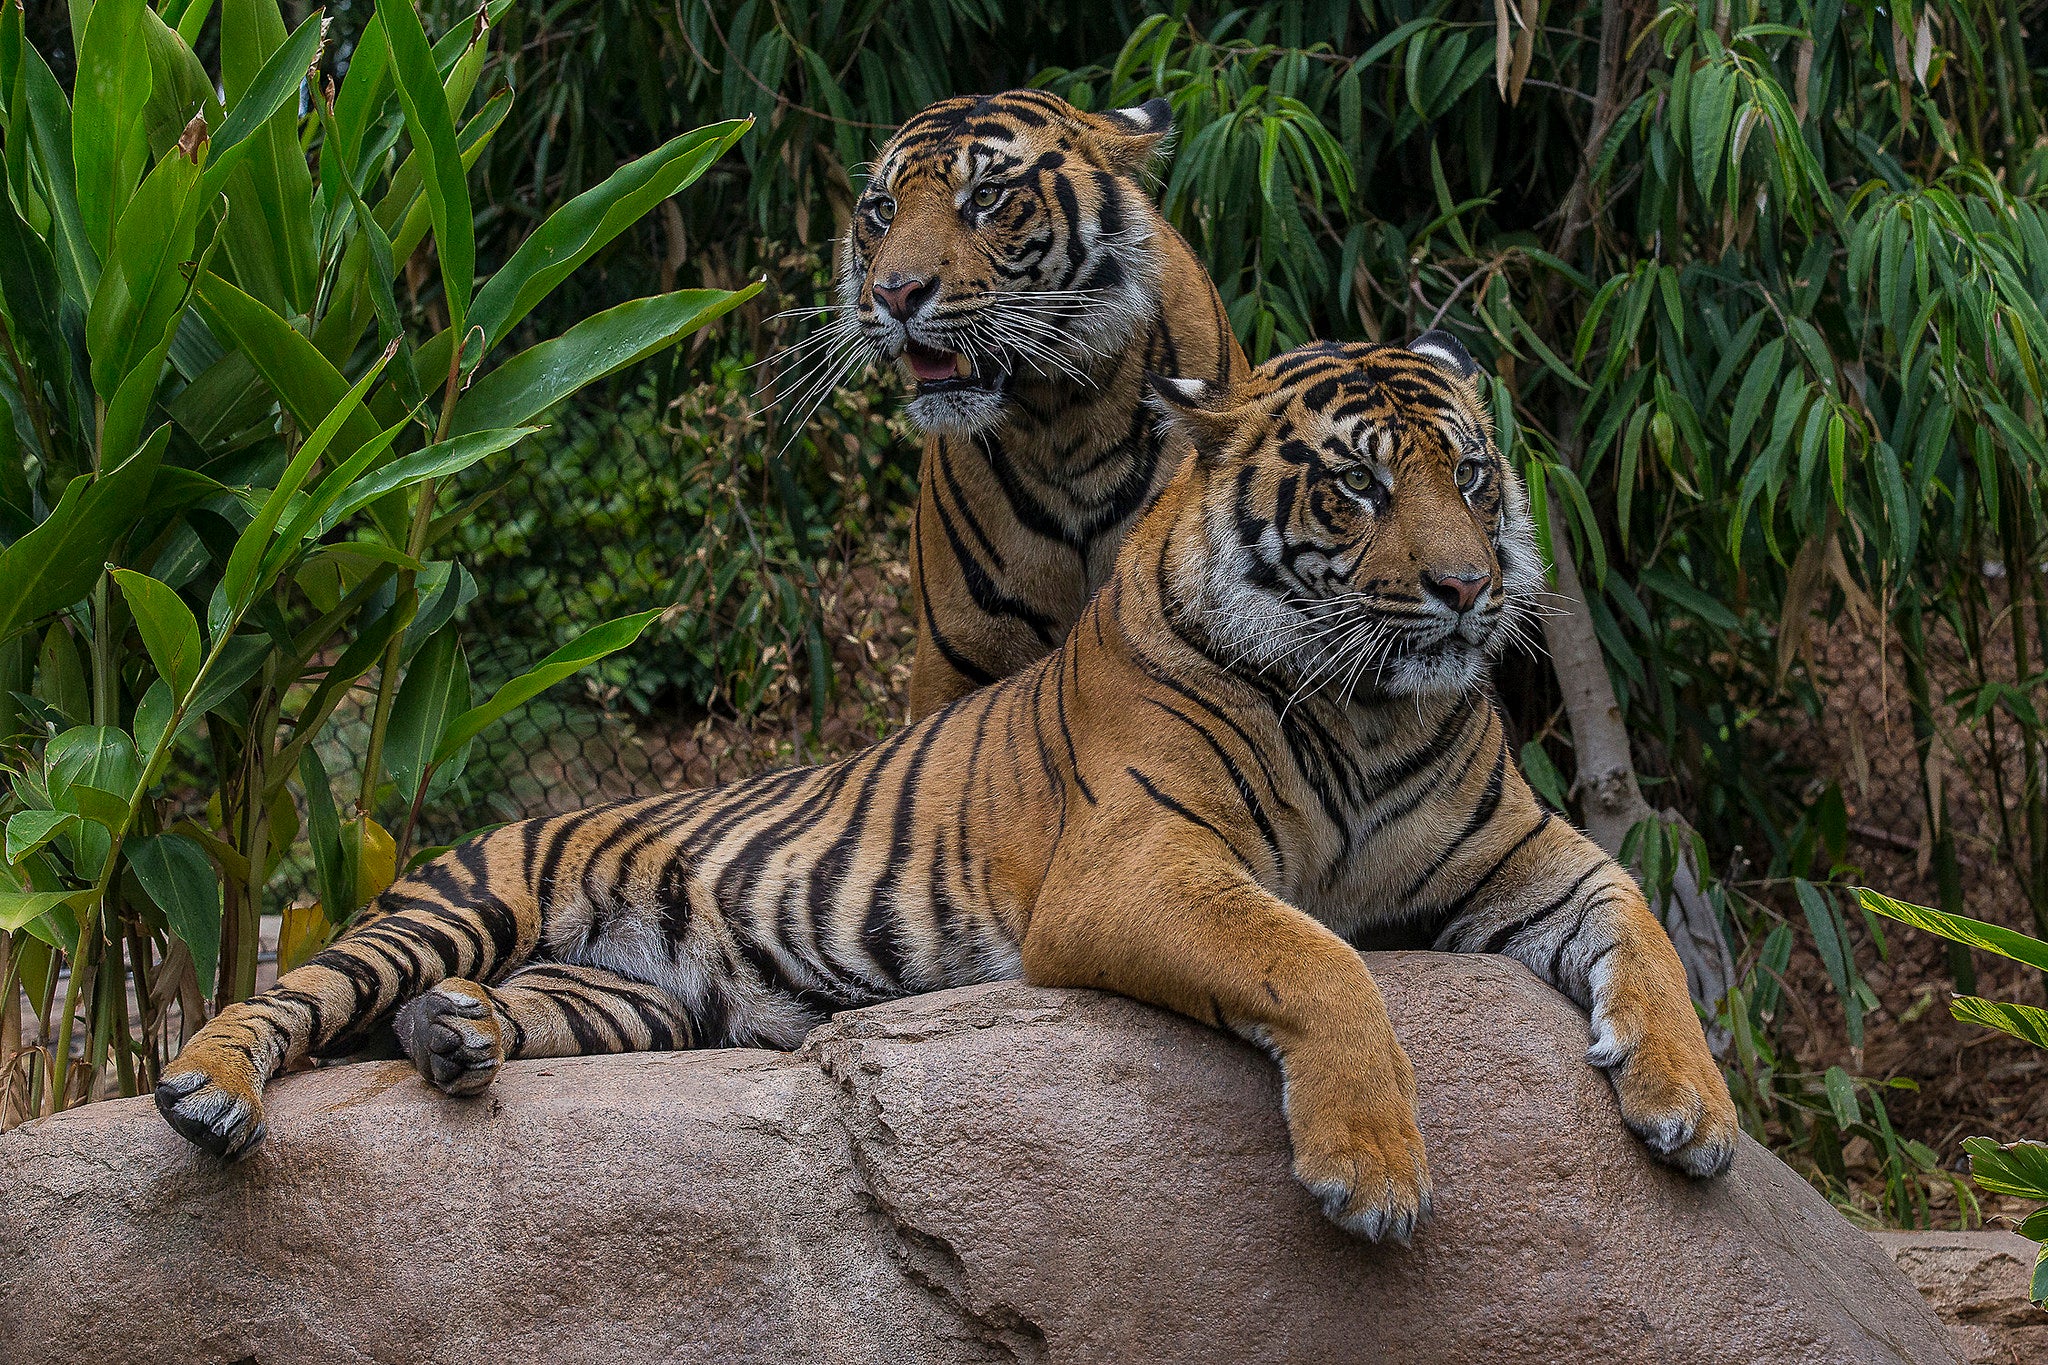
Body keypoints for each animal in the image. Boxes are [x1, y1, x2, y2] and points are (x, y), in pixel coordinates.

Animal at [157, 334, 1736, 1242]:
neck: (1366, 710)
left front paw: (1693, 1113)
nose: (1471, 592)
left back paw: (459, 1040)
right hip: (455, 901)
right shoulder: (1138, 864)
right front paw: (1373, 1172)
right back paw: (212, 1093)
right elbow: (1320, 958)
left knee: (491, 1014)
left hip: (639, 998)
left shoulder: (1528, 857)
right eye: (1354, 487)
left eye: (1468, 476)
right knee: (294, 999)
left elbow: (1646, 930)